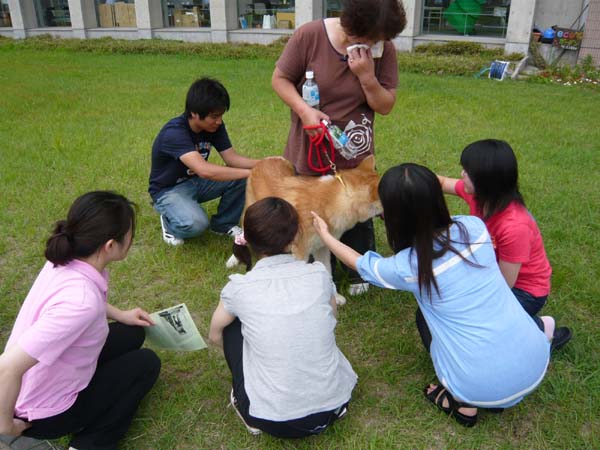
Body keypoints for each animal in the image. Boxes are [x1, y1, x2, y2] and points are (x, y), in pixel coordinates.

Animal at [227, 155, 382, 306]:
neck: (332, 201)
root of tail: (265, 159)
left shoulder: (323, 248)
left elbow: (328, 272)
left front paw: (335, 298)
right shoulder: (301, 253)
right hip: (250, 213)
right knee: (242, 235)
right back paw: (234, 259)